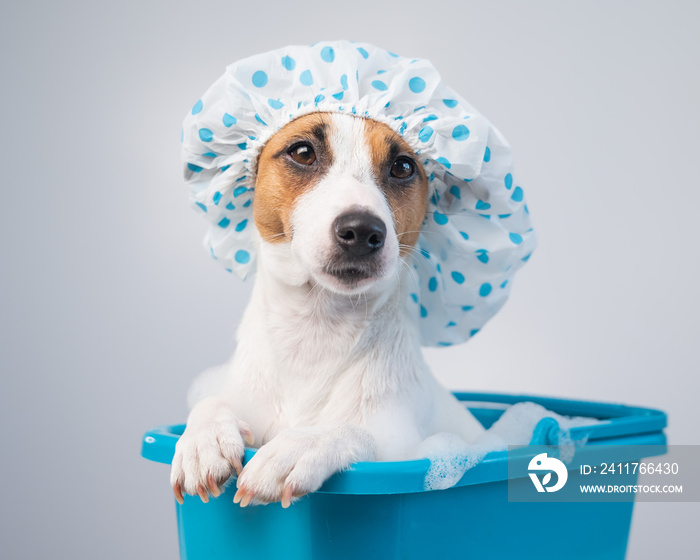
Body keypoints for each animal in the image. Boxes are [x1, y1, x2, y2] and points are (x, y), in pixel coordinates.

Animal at [170, 109, 486, 508]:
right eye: (303, 152)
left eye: (402, 166)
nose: (362, 230)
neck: (315, 329)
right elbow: (210, 401)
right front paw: (203, 440)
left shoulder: (402, 448)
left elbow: (353, 431)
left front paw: (301, 445)